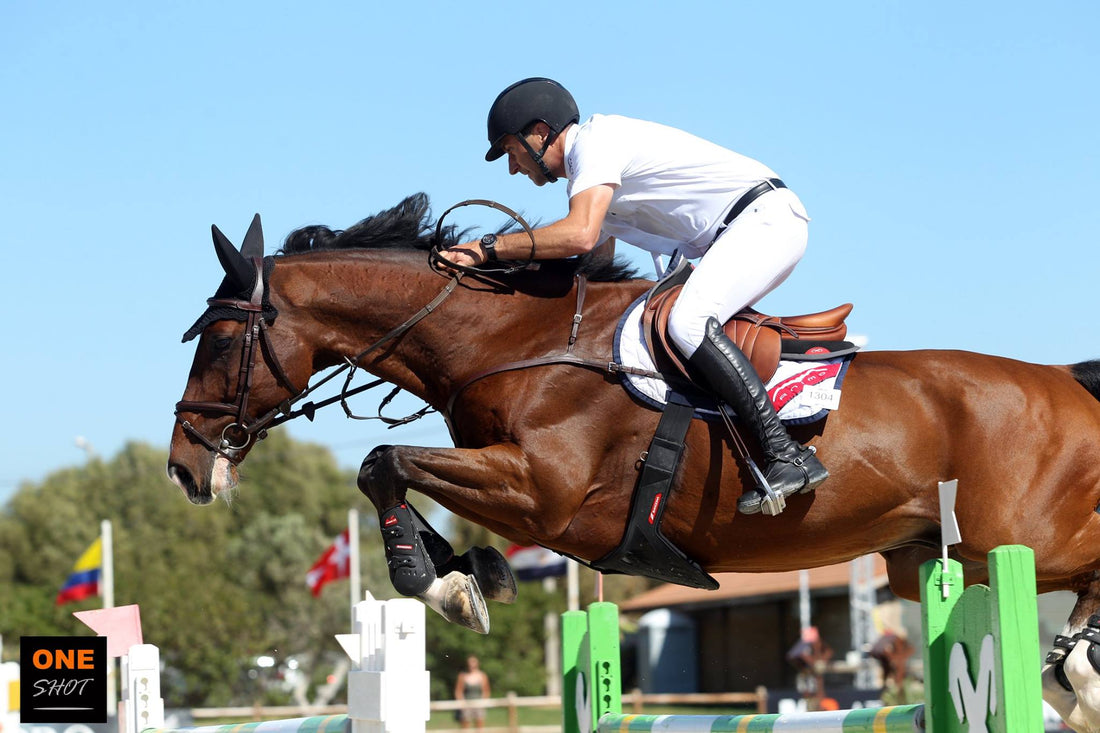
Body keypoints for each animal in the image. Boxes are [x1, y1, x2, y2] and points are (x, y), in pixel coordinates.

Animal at [165, 191, 1100, 726]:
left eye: (218, 339)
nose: (184, 466)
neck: (515, 342)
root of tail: (1066, 378)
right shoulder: (528, 495)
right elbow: (397, 471)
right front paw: (472, 574)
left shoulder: (544, 494)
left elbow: (383, 460)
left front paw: (443, 584)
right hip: (931, 559)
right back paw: (1074, 668)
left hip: (1008, 539)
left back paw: (1075, 667)